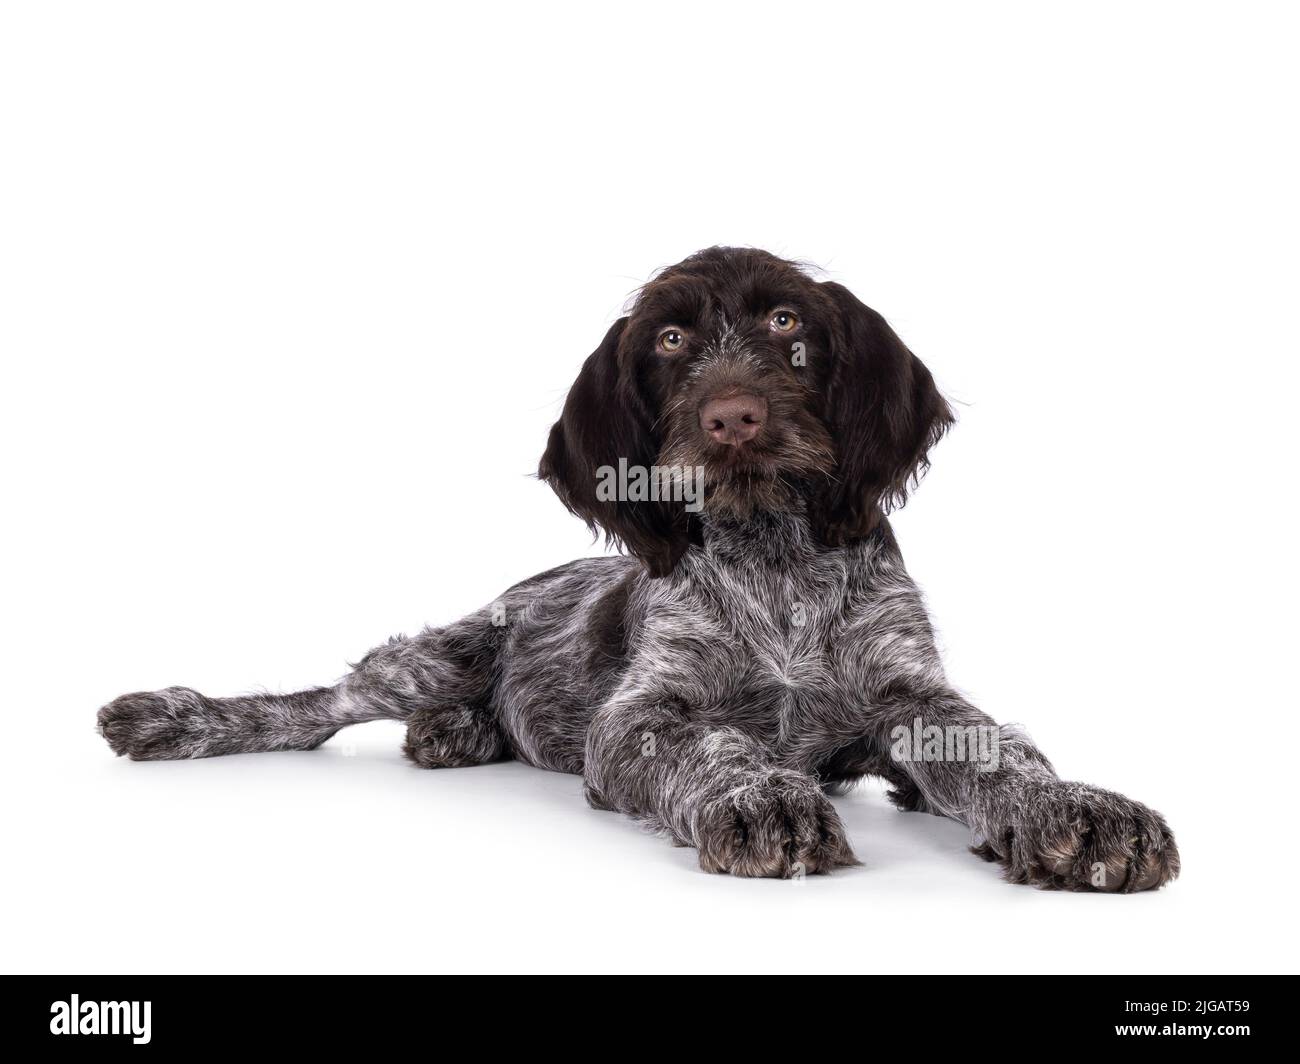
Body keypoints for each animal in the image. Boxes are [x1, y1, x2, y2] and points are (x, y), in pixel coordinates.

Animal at [101, 247, 1180, 889]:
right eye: (668, 339)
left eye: (787, 325)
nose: (733, 417)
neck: (773, 555)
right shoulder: (641, 714)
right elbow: (711, 745)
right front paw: (761, 794)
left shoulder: (914, 694)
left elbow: (997, 749)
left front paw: (1075, 808)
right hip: (436, 652)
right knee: (323, 701)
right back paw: (181, 716)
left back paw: (456, 732)